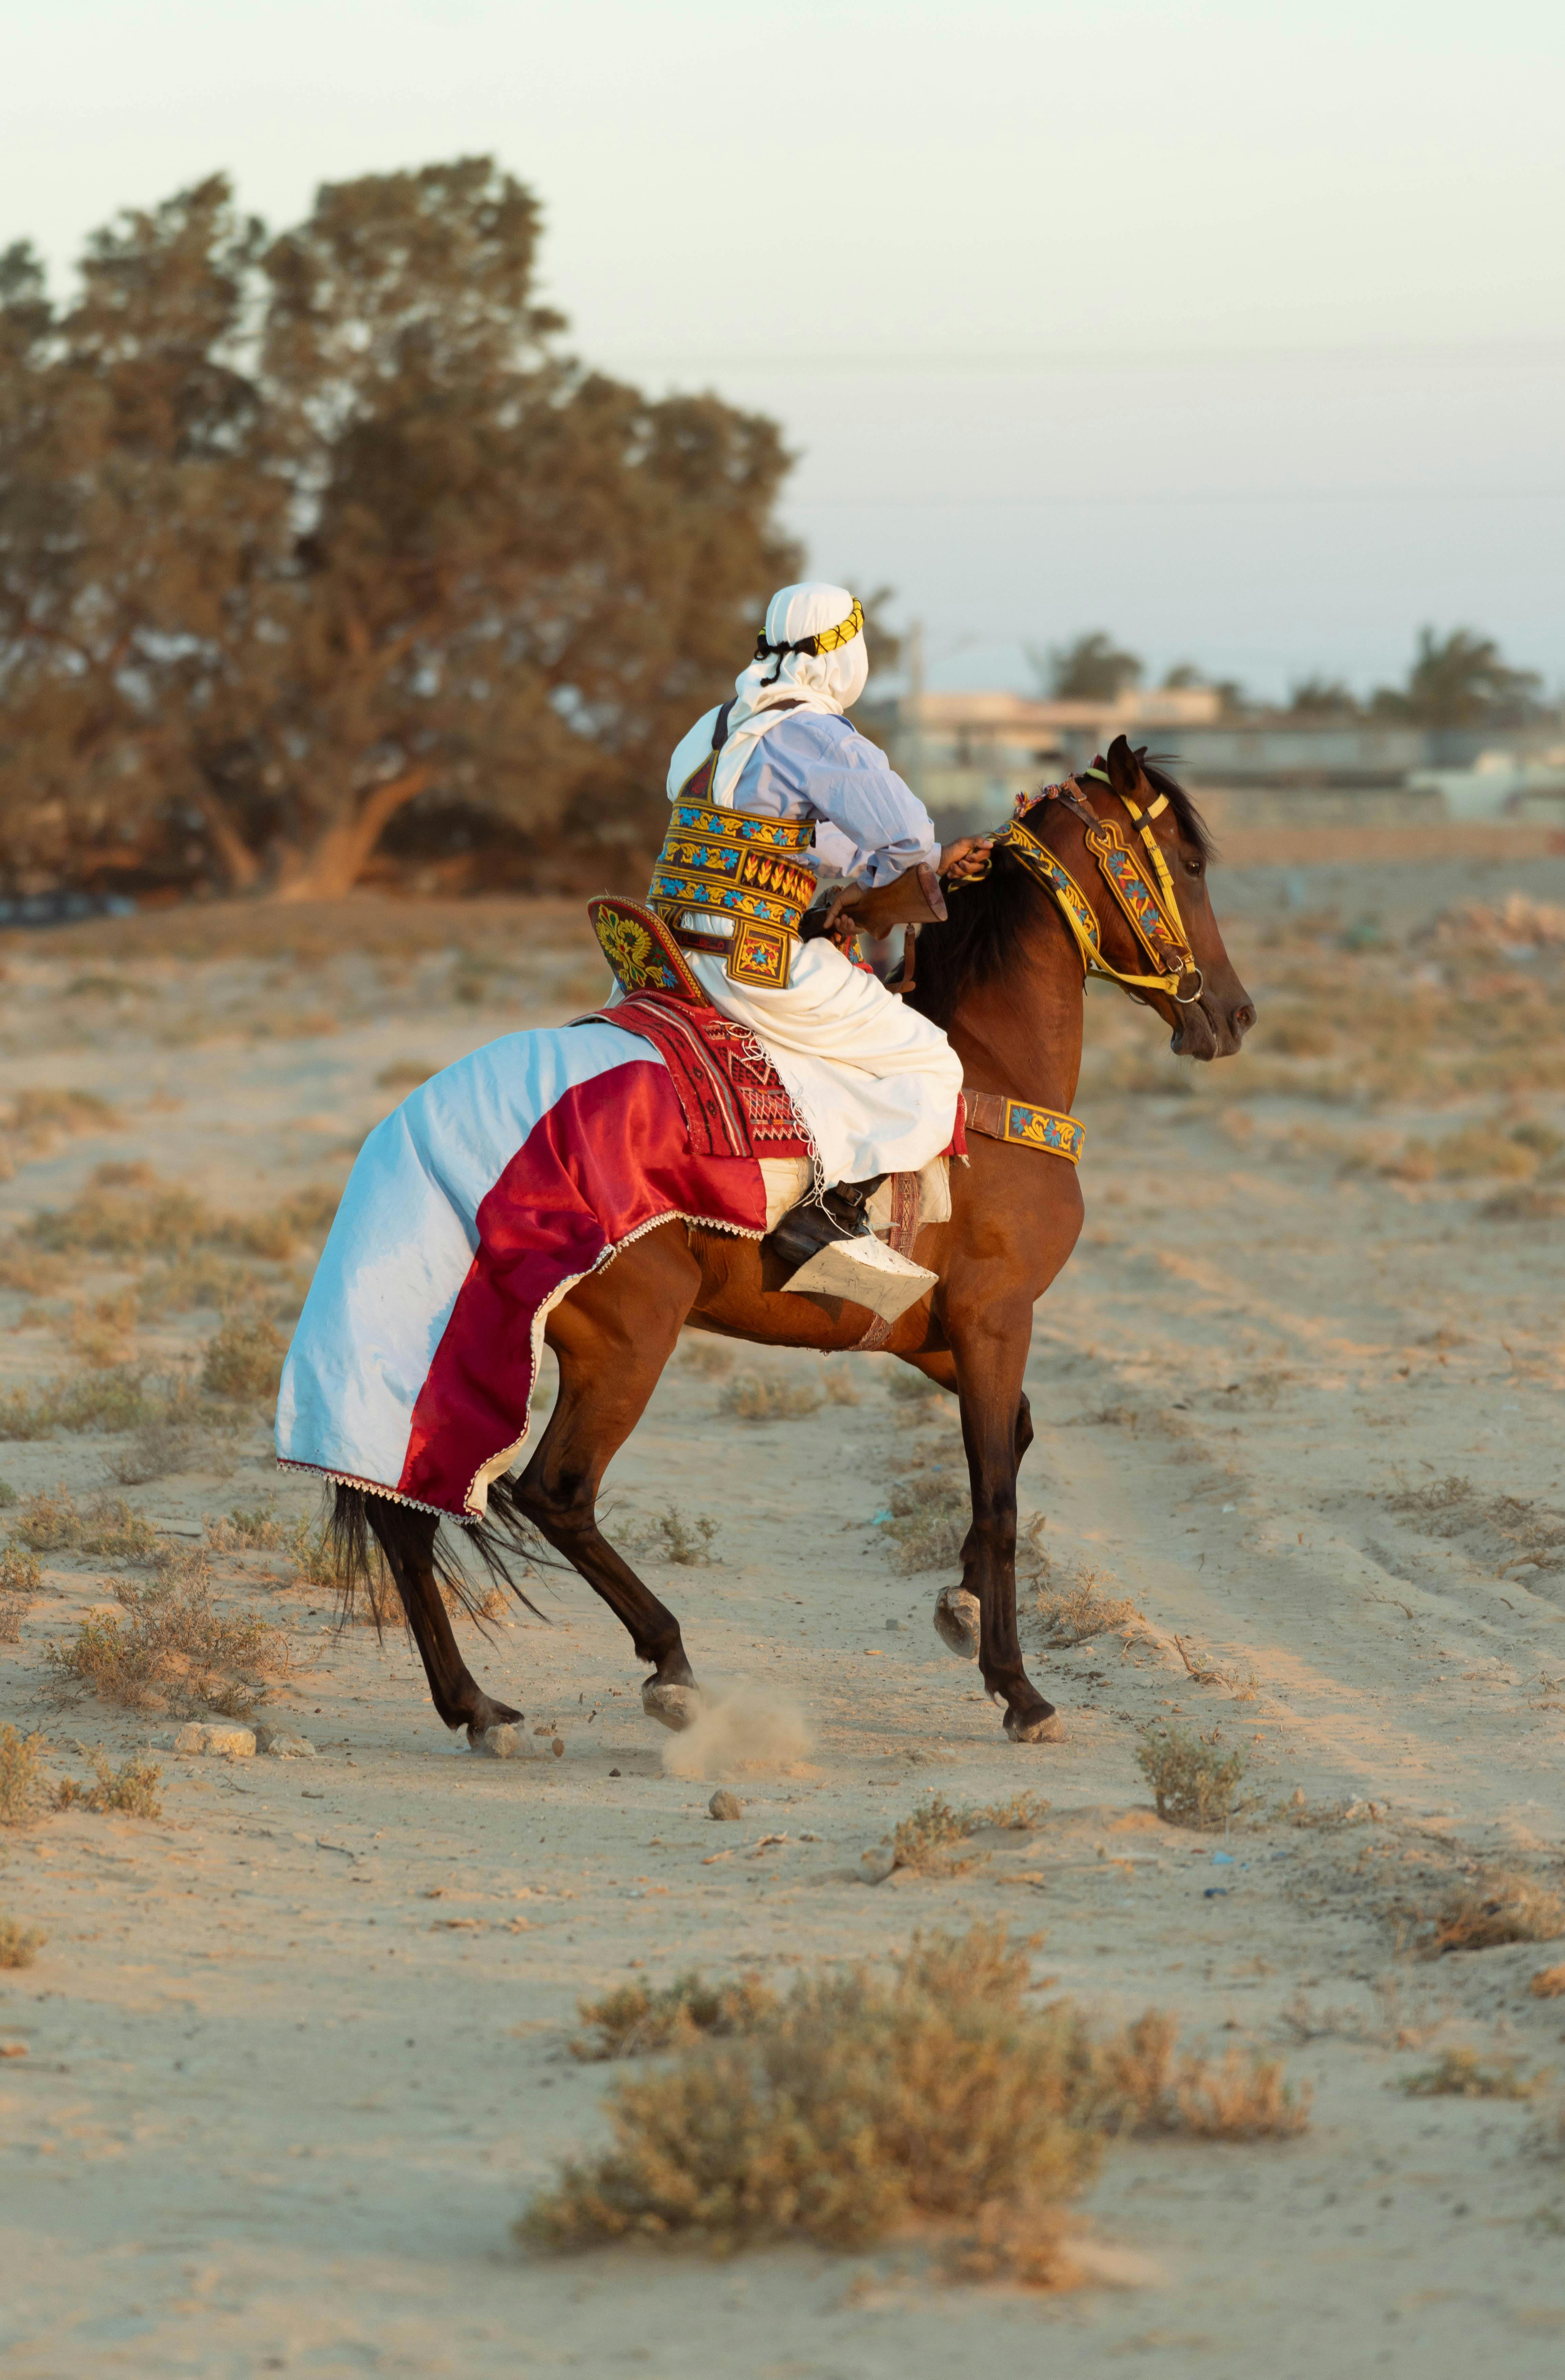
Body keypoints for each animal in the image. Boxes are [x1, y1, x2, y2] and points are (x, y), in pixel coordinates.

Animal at [336, 738, 1248, 1752]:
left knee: (411, 1511)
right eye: (1193, 864)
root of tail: (427, 1132)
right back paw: (669, 1666)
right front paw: (1018, 1686)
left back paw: (479, 1704)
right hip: (625, 1344)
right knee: (553, 1492)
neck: (989, 1067)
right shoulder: (994, 1317)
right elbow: (1000, 1492)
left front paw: (963, 1605)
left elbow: (1012, 1438)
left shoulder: (930, 1332)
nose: (1234, 1014)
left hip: (468, 1348)